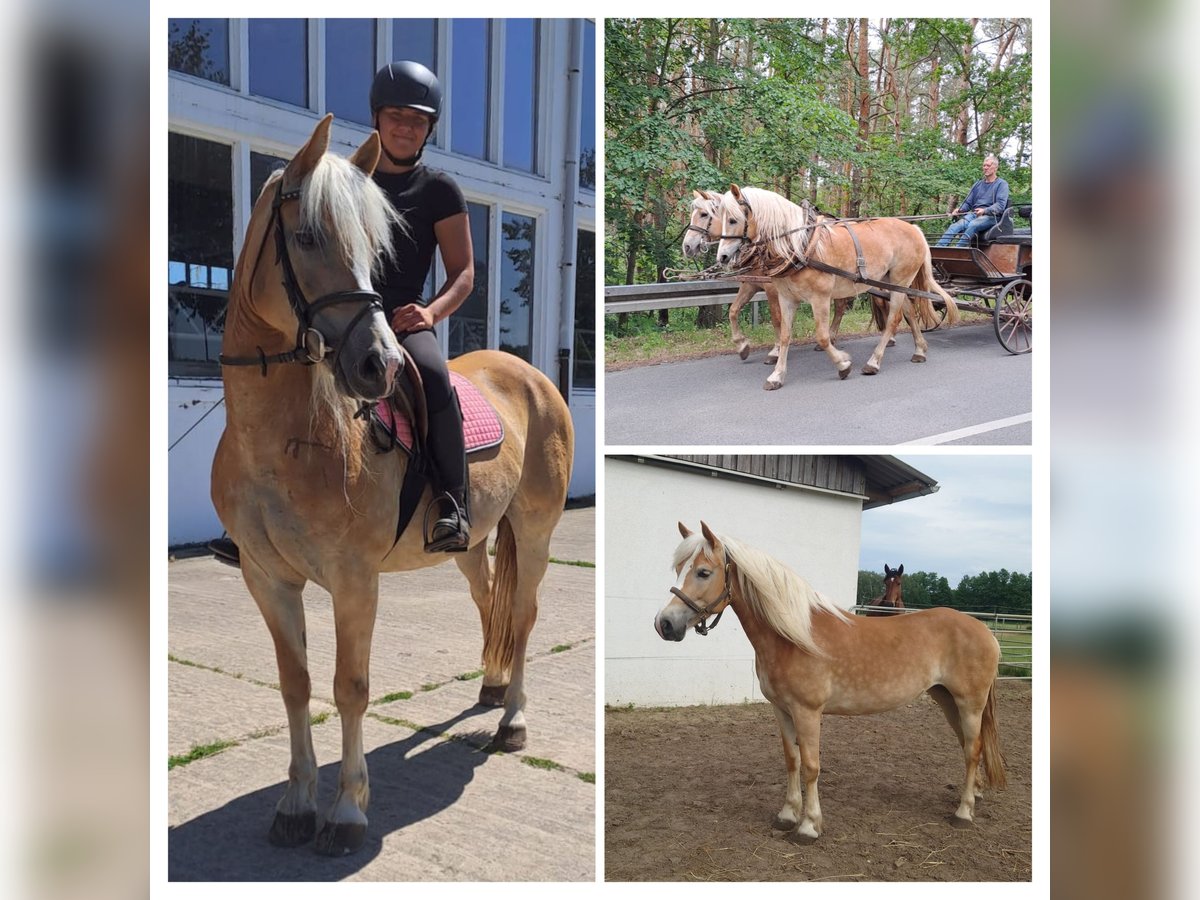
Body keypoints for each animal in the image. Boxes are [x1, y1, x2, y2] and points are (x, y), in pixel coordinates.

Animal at [211, 114, 576, 859]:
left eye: (373, 247)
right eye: (307, 236)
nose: (379, 364)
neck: (280, 442)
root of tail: (534, 376)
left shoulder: (354, 580)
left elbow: (350, 687)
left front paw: (347, 813)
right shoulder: (266, 579)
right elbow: (294, 685)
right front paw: (296, 804)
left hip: (535, 530)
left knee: (523, 616)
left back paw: (512, 720)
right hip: (469, 542)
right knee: (488, 602)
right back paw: (491, 686)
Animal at [657, 525, 1003, 844]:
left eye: (703, 572)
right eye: (679, 568)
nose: (665, 624)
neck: (793, 637)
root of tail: (985, 631)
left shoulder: (808, 711)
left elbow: (811, 766)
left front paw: (809, 826)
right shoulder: (782, 710)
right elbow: (792, 760)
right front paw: (787, 815)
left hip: (969, 703)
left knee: (972, 749)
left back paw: (963, 813)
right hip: (947, 699)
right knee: (969, 745)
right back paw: (975, 795)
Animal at [681, 190, 888, 367]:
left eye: (704, 214)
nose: (687, 246)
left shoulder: (773, 289)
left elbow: (776, 318)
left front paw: (775, 351)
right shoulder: (750, 284)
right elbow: (733, 310)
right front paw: (742, 346)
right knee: (842, 306)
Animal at [715, 183, 960, 391]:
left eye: (734, 220)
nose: (722, 257)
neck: (799, 245)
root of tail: (914, 229)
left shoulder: (820, 298)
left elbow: (823, 337)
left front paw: (843, 364)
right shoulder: (786, 298)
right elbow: (784, 335)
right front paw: (776, 376)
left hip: (901, 279)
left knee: (894, 319)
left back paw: (874, 362)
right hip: (892, 283)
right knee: (908, 311)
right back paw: (919, 350)